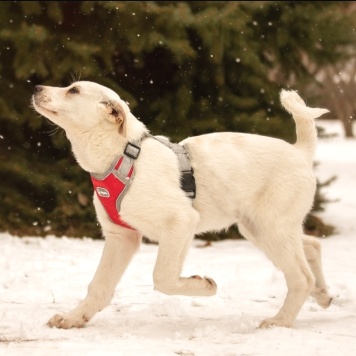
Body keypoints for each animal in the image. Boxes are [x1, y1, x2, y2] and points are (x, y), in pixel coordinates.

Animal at [32, 80, 332, 328]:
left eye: (73, 90)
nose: (35, 88)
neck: (120, 158)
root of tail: (299, 151)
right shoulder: (121, 237)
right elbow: (99, 285)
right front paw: (74, 318)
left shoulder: (180, 222)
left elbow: (162, 276)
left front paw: (205, 287)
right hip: (260, 228)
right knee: (312, 247)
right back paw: (322, 295)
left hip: (271, 227)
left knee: (301, 276)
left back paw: (280, 321)